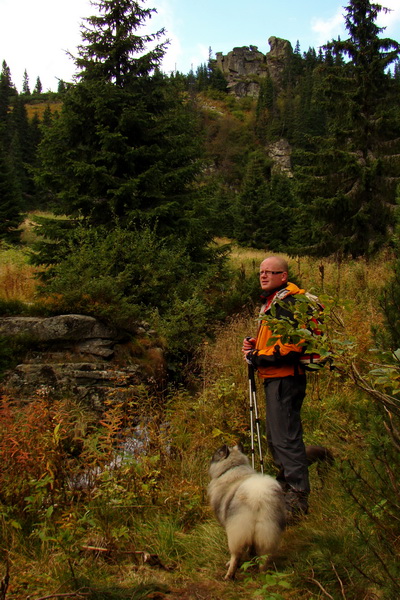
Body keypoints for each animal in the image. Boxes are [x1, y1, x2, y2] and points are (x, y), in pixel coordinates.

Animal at [208, 442, 286, 580]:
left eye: (216, 452)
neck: (233, 468)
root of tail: (259, 495)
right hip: (267, 530)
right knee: (264, 557)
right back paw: (262, 574)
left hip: (237, 531)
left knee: (236, 555)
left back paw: (229, 575)